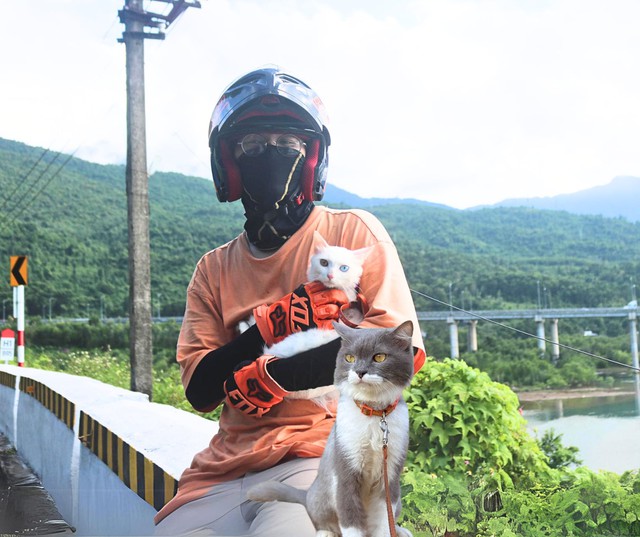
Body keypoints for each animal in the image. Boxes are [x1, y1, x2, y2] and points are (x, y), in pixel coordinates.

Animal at [245, 320, 416, 532]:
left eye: (379, 357)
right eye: (350, 357)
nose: (360, 372)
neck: (375, 416)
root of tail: (308, 492)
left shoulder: (390, 473)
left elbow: (385, 519)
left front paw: (390, 530)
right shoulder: (345, 467)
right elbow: (350, 521)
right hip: (323, 496)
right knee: (323, 521)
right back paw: (325, 533)